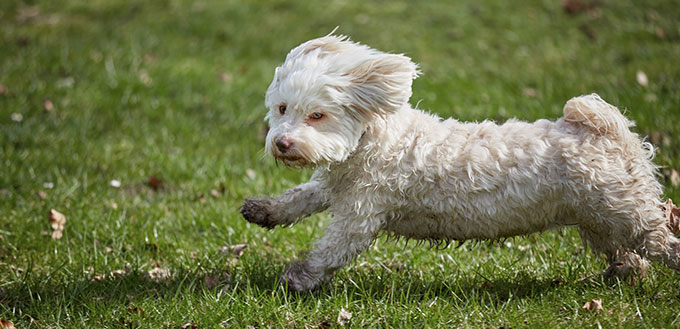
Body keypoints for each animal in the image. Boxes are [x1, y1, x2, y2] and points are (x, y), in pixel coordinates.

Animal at [240, 34, 680, 290]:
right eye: (283, 108)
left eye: (317, 115)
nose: (282, 143)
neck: (369, 142)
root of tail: (607, 131)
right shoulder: (334, 187)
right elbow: (300, 197)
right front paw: (264, 210)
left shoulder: (361, 213)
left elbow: (331, 249)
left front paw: (299, 278)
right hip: (597, 218)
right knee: (626, 252)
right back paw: (623, 272)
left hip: (628, 213)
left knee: (663, 240)